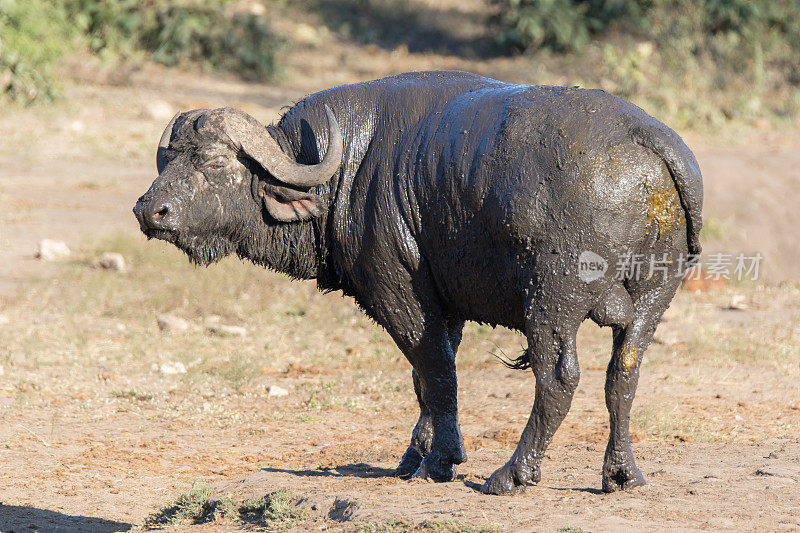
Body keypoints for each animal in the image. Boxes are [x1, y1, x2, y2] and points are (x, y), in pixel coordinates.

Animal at [134, 70, 704, 494]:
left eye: (213, 162)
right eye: (169, 160)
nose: (148, 210)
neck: (343, 173)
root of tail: (647, 142)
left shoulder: (400, 297)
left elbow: (437, 374)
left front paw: (443, 460)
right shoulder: (441, 308)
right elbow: (425, 378)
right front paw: (415, 455)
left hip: (551, 300)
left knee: (559, 377)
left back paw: (512, 474)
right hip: (654, 297)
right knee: (623, 372)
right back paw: (621, 472)